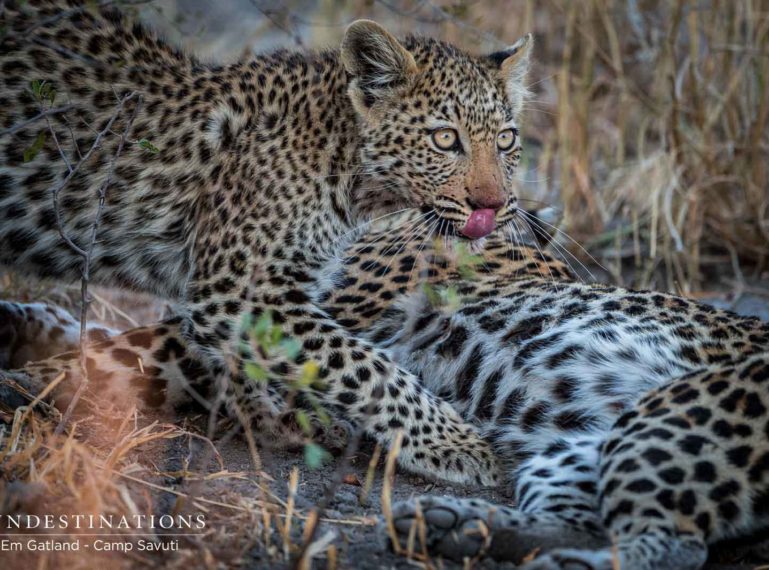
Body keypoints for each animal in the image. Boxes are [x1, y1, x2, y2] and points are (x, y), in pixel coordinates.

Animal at [1, 0, 540, 484]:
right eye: (445, 139)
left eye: (507, 140)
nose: (494, 206)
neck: (346, 164)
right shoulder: (239, 291)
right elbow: (366, 367)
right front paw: (456, 444)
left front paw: (276, 419)